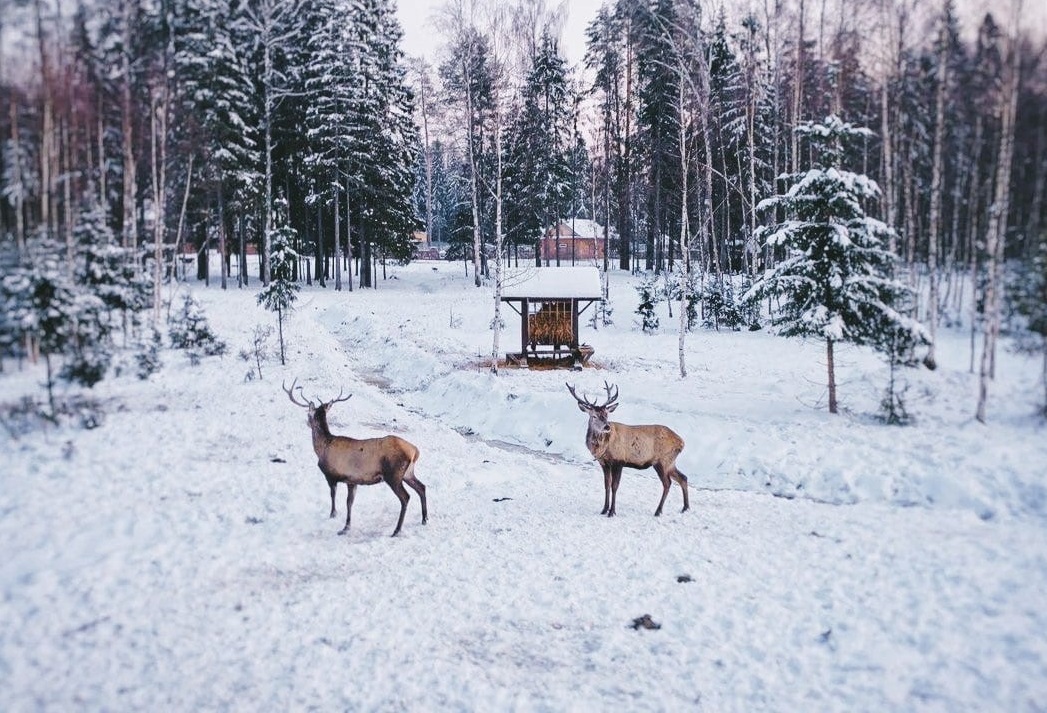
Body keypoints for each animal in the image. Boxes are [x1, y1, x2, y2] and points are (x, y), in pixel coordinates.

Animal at [284, 379, 427, 533]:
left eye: (308, 414)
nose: (307, 422)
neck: (322, 448)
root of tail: (414, 451)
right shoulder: (352, 480)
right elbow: (349, 502)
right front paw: (347, 525)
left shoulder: (330, 475)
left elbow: (333, 496)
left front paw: (333, 514)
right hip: (407, 473)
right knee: (422, 487)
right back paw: (424, 519)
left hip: (393, 474)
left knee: (405, 497)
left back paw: (397, 530)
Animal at [569, 383, 691, 517]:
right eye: (594, 416)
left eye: (606, 415)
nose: (607, 426)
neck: (603, 447)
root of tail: (681, 442)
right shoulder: (604, 463)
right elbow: (606, 485)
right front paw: (604, 509)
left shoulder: (619, 461)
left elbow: (614, 486)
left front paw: (612, 512)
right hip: (670, 462)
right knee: (683, 478)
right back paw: (685, 508)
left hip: (662, 460)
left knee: (667, 483)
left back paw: (658, 511)